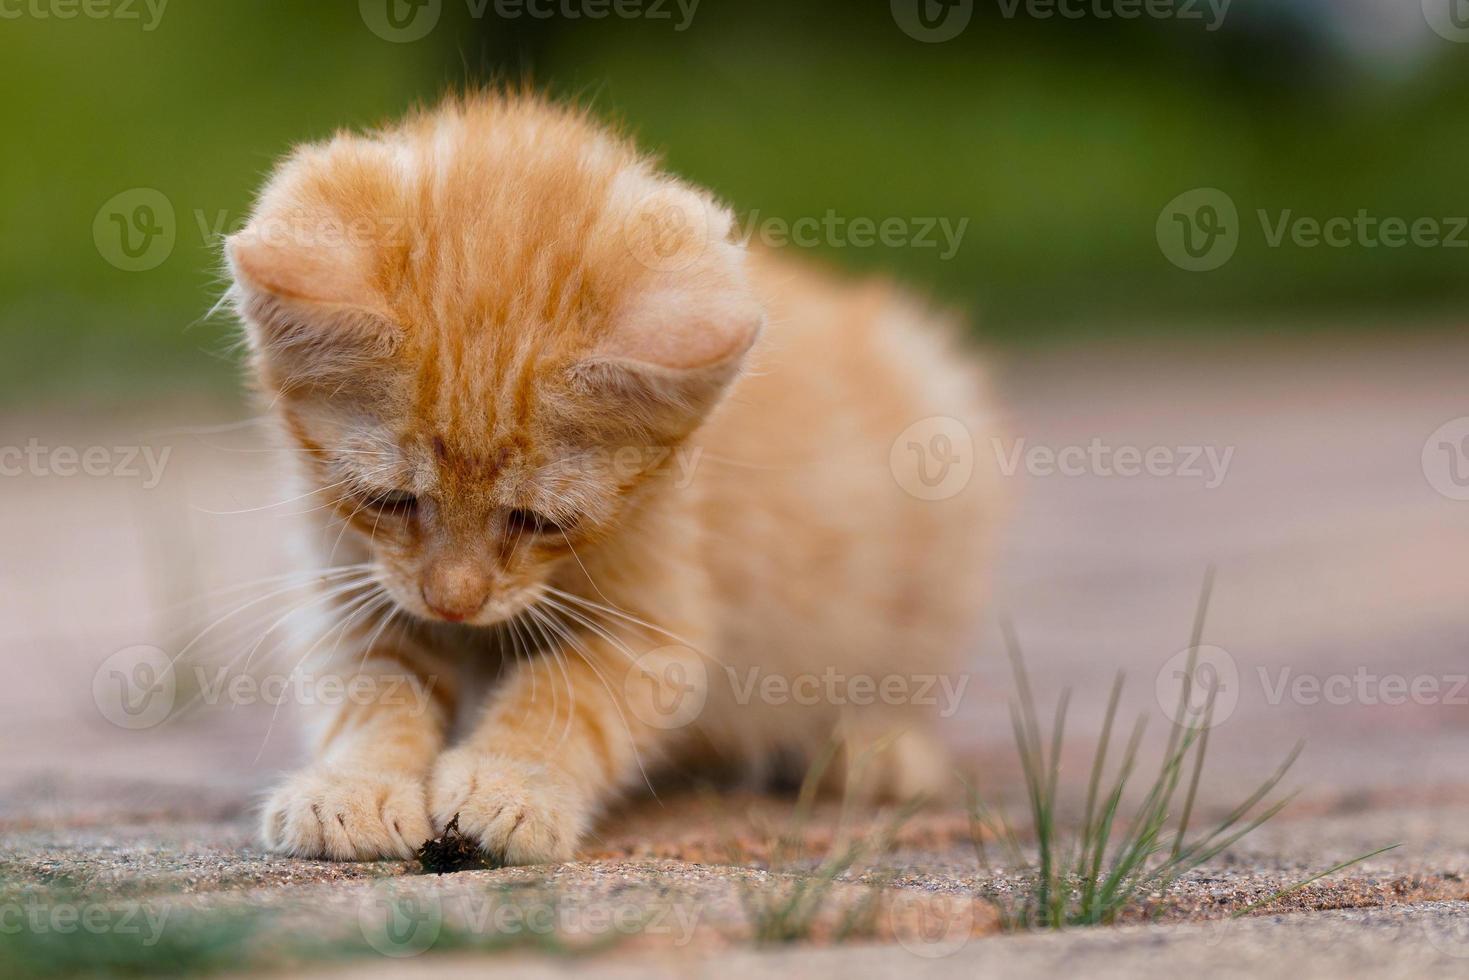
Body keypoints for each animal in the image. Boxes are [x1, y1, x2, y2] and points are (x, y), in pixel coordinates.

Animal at [226, 94, 998, 863]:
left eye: (539, 521)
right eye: (388, 499)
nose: (454, 603)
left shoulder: (657, 626)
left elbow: (566, 697)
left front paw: (508, 787)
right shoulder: (351, 587)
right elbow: (370, 690)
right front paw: (352, 786)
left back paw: (870, 746)